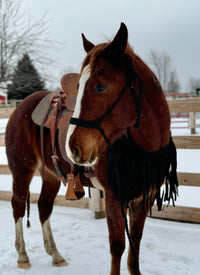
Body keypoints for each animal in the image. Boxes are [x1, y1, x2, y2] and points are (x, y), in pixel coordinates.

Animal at [66, 22, 178, 275]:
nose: (73, 148)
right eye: (78, 86)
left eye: (100, 86)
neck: (144, 153)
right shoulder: (113, 197)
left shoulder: (144, 196)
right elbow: (117, 245)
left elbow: (135, 241)